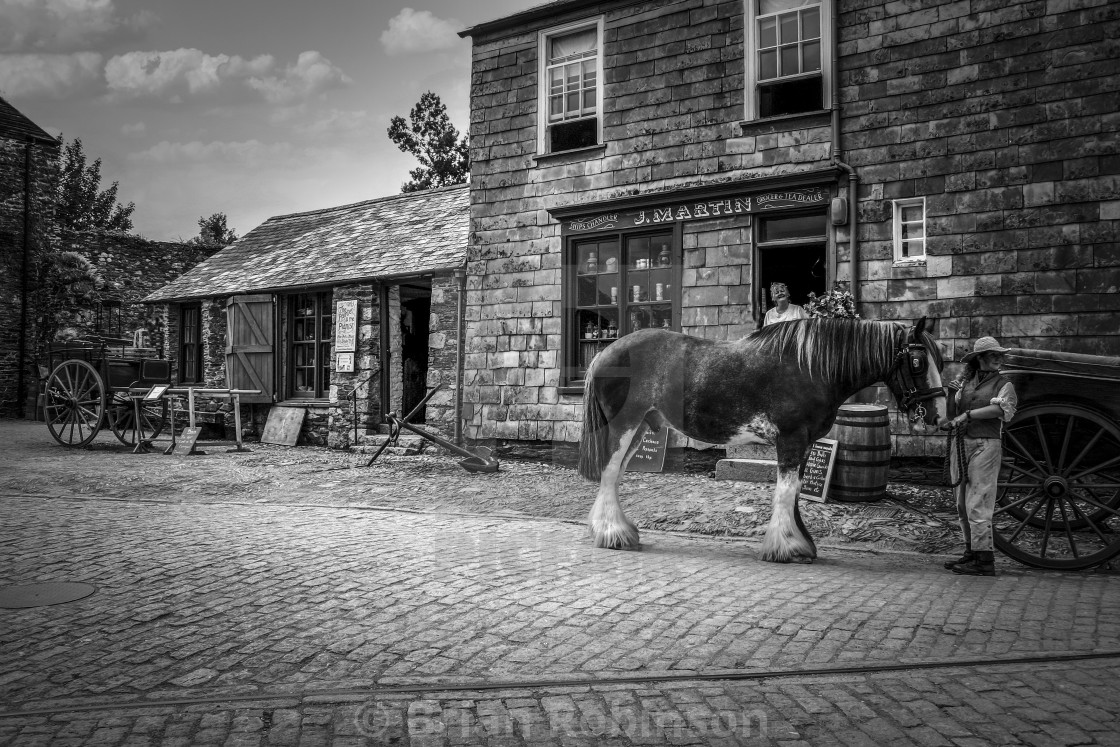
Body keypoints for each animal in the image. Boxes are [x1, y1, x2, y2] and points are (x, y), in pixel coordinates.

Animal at [577, 318, 945, 566]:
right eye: (917, 362)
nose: (938, 414)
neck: (810, 367)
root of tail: (604, 354)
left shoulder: (804, 443)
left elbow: (795, 491)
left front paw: (802, 545)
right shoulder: (791, 439)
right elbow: (784, 491)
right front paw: (785, 547)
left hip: (639, 428)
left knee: (615, 476)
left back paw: (616, 531)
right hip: (624, 426)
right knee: (609, 474)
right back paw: (613, 534)